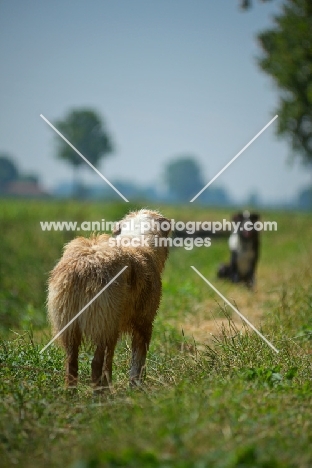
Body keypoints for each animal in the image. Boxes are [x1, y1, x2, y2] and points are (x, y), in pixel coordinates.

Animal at [47, 210, 171, 390]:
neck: (139, 240)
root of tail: (84, 264)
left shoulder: (115, 326)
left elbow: (110, 359)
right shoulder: (144, 323)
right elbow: (137, 362)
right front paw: (135, 388)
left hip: (71, 323)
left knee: (72, 364)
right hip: (102, 320)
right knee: (95, 363)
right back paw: (100, 393)